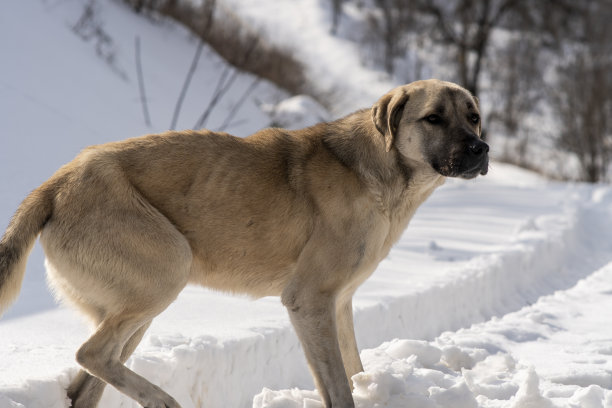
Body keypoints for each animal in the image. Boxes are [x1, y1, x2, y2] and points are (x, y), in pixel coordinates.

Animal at [0, 79, 488, 408]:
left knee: (85, 384)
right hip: (167, 270)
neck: (384, 173)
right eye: (433, 118)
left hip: (136, 308)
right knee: (91, 353)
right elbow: (336, 386)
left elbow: (353, 368)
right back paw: (162, 399)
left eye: (474, 116)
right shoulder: (309, 301)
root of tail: (57, 181)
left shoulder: (340, 303)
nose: (481, 149)